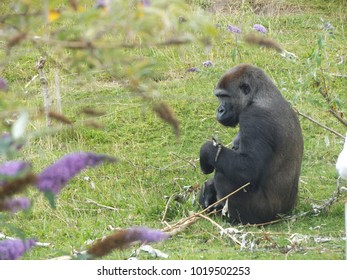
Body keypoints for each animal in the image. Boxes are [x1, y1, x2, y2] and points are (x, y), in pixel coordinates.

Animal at [200, 64, 304, 225]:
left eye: (225, 96)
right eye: (218, 97)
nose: (220, 110)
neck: (258, 96)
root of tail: (286, 212)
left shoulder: (254, 117)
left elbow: (249, 169)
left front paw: (206, 151)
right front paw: (209, 189)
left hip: (266, 214)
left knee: (223, 175)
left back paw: (236, 219)